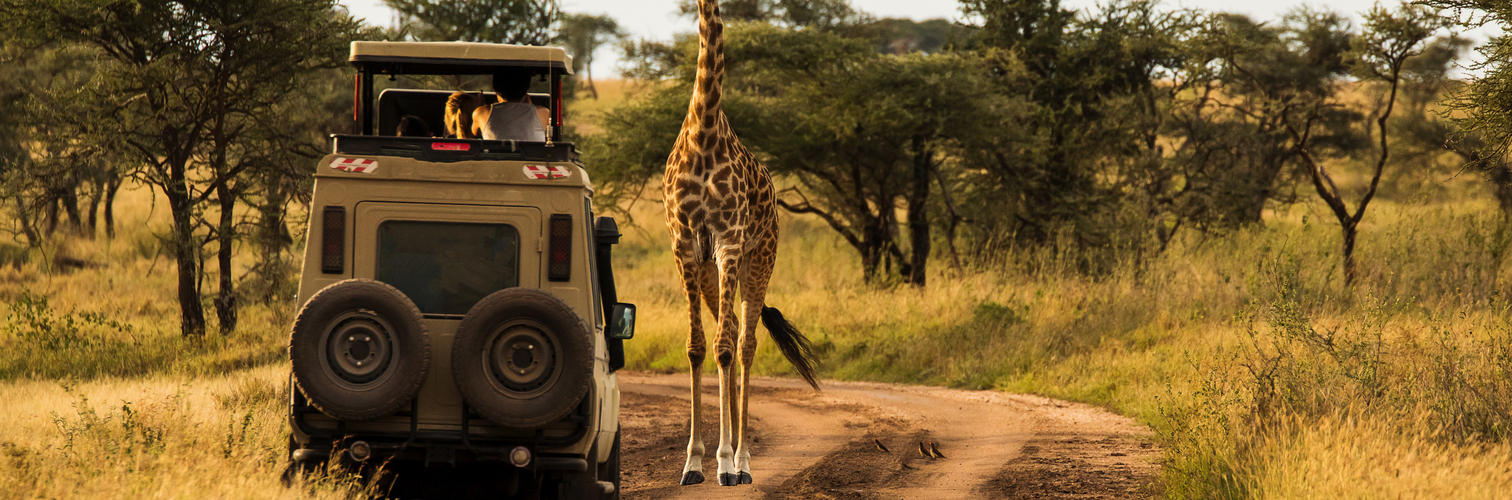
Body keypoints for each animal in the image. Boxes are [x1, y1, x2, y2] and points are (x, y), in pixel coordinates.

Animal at [662, 0, 821, 488]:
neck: (703, 129)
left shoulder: (730, 242)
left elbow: (726, 348)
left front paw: (725, 462)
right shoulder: (685, 245)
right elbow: (698, 347)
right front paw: (693, 463)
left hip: (760, 258)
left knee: (745, 344)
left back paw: (743, 461)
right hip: (711, 271)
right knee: (727, 332)